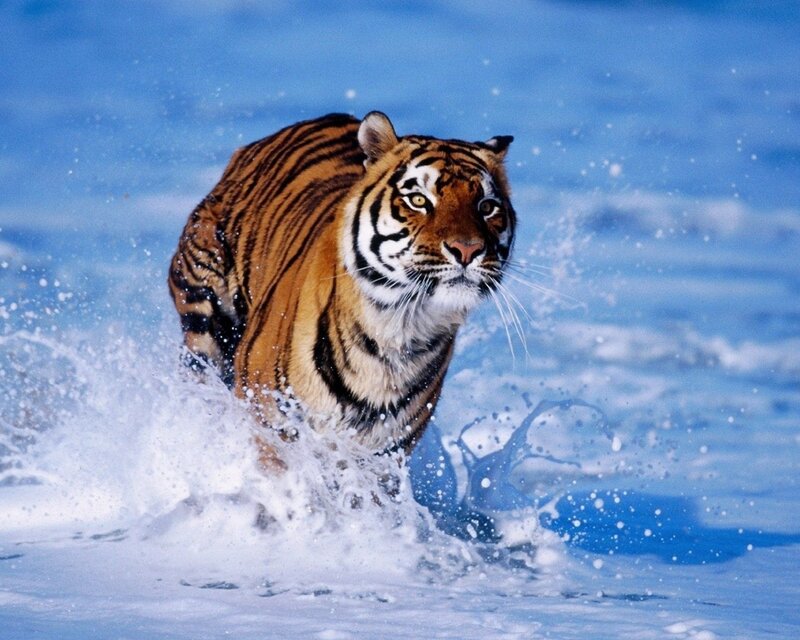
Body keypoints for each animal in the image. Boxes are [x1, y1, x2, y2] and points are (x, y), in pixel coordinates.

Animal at [168, 111, 515, 455]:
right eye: (418, 199)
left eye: (487, 207)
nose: (467, 249)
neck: (398, 330)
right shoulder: (270, 423)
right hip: (205, 320)